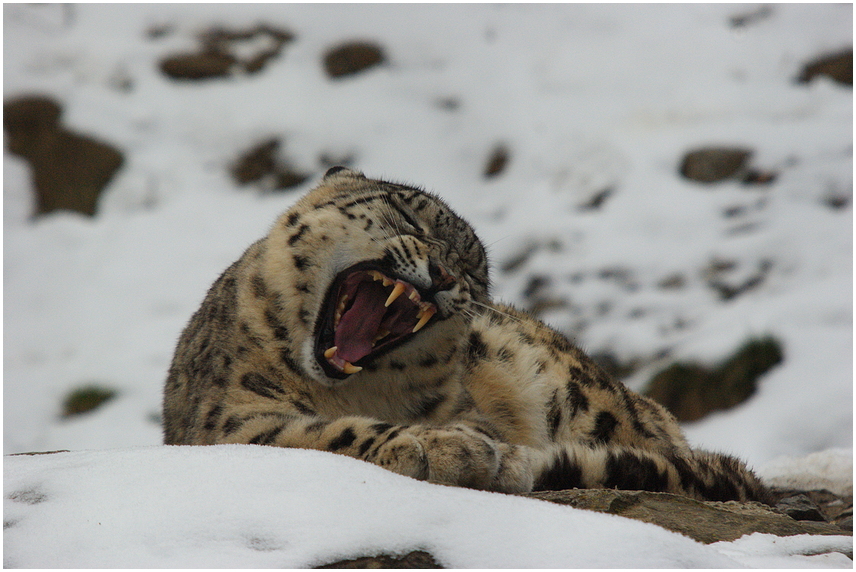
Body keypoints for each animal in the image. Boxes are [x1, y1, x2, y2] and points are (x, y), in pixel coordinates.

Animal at [160, 165, 768, 500]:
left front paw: (469, 448)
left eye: (475, 272)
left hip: (588, 401)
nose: (445, 274)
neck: (346, 389)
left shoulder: (470, 408)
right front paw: (443, 448)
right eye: (409, 217)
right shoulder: (229, 421)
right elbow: (323, 435)